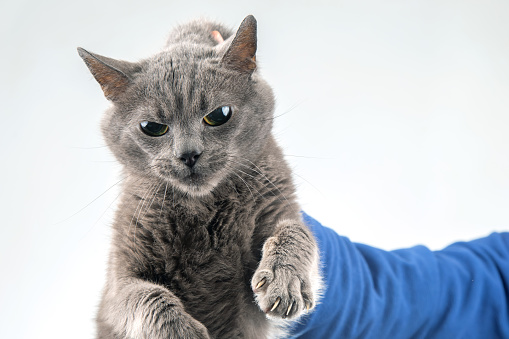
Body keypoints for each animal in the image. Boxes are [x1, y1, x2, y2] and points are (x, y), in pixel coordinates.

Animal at [77, 14, 320, 338]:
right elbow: (146, 296)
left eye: (219, 115)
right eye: (152, 127)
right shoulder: (117, 284)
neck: (203, 207)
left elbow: (296, 232)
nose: (188, 154)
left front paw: (284, 282)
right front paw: (181, 331)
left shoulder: (277, 200)